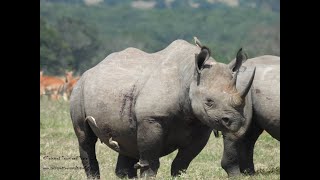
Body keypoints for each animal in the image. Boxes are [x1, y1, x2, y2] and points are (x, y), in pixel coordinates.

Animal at [69, 39, 255, 179]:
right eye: (209, 101)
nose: (235, 122)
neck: (189, 76)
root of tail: (91, 69)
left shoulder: (201, 124)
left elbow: (183, 160)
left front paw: (178, 176)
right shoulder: (152, 118)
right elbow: (150, 158)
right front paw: (148, 177)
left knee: (125, 137)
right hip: (79, 90)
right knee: (85, 138)